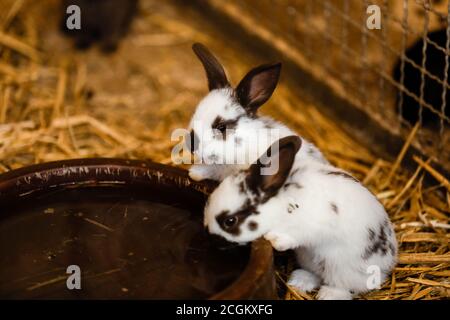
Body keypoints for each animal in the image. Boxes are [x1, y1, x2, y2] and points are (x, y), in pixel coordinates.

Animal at [205, 135, 398, 300]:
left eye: (230, 221)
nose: (209, 237)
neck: (280, 204)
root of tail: (388, 262)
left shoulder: (315, 223)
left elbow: (300, 234)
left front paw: (276, 240)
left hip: (342, 268)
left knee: (343, 286)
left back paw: (328, 295)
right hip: (309, 259)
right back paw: (299, 280)